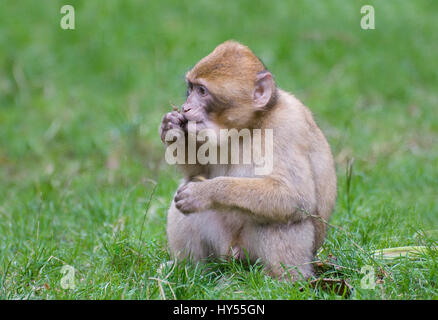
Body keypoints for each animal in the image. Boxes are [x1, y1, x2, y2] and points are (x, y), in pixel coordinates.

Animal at [159, 40, 338, 280]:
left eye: (202, 91)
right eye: (191, 88)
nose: (186, 107)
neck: (248, 127)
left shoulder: (288, 125)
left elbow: (295, 195)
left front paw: (206, 192)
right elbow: (198, 172)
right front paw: (171, 127)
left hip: (254, 254)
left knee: (285, 219)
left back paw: (282, 280)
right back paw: (187, 271)